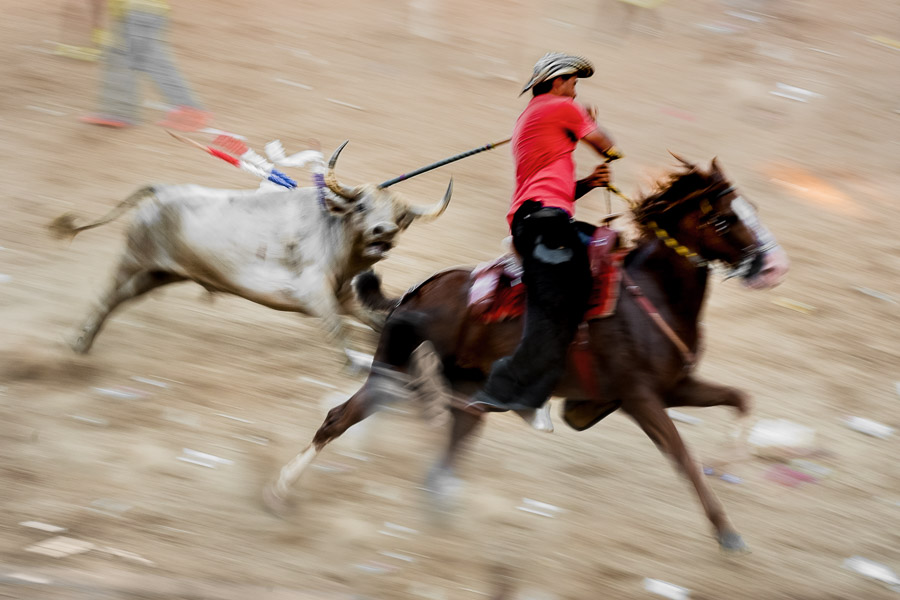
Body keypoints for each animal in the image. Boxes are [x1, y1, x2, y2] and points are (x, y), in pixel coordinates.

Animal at [51, 143, 450, 366]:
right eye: (363, 206)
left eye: (400, 217)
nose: (384, 232)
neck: (333, 231)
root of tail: (161, 190)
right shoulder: (314, 294)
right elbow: (339, 334)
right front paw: (356, 363)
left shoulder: (343, 297)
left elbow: (377, 321)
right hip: (134, 259)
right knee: (107, 295)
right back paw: (79, 342)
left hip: (158, 273)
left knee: (121, 297)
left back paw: (83, 343)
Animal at [266, 158, 788, 552]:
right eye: (723, 219)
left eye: (753, 209)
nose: (772, 267)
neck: (653, 295)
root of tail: (420, 290)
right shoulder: (640, 397)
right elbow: (683, 457)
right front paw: (727, 533)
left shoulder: (675, 386)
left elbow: (739, 399)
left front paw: (732, 460)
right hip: (391, 371)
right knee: (341, 417)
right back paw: (281, 489)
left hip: (461, 386)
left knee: (444, 450)